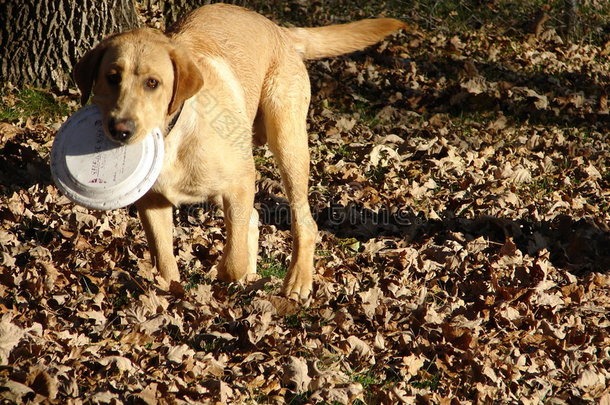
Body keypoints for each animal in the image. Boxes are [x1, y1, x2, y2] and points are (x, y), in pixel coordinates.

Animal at [72, 3, 404, 300]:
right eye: (112, 77)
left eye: (153, 83)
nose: (120, 129)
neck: (175, 135)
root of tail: (279, 29)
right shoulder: (152, 202)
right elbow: (165, 264)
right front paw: (172, 291)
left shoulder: (241, 181)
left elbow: (234, 258)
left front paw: (228, 273)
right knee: (256, 219)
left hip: (287, 139)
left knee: (303, 222)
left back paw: (297, 281)